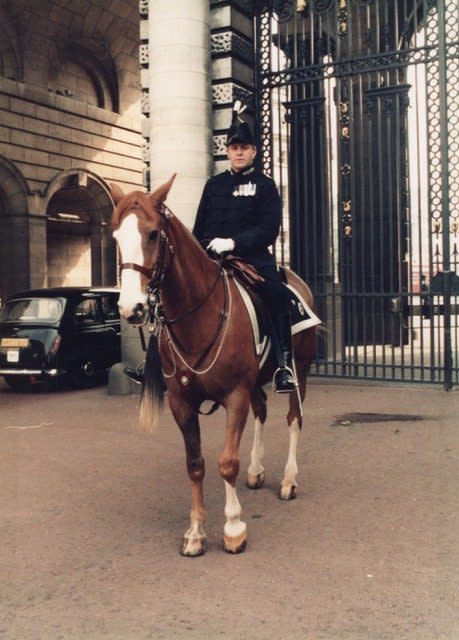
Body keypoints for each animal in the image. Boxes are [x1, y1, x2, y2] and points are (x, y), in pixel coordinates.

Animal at [111, 175, 316, 556]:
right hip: (256, 381)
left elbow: (226, 462)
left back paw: (289, 480)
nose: (132, 308)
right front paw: (195, 531)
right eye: (116, 236)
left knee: (293, 418)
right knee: (262, 410)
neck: (198, 316)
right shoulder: (181, 402)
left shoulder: (234, 395)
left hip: (300, 371)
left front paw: (234, 528)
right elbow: (195, 465)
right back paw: (257, 470)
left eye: (153, 234)